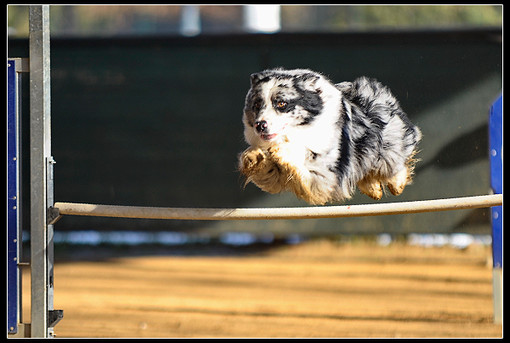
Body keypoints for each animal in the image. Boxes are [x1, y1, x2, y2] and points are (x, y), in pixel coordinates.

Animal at [239, 68, 422, 206]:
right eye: (257, 104)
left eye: (282, 104)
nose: (260, 125)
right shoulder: (277, 178)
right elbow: (268, 171)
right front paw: (253, 157)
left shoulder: (324, 177)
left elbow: (301, 163)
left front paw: (283, 152)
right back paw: (373, 189)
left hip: (389, 146)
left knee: (394, 166)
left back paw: (396, 183)